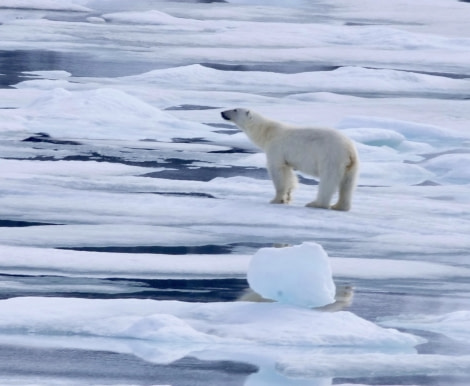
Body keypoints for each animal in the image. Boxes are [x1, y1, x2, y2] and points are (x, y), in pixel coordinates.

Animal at [222, 108, 358, 211]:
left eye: (235, 109)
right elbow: (288, 174)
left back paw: (316, 204)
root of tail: (349, 150)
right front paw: (287, 196)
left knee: (328, 181)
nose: (222, 112)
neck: (268, 132)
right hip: (351, 166)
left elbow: (277, 172)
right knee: (347, 184)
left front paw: (276, 199)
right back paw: (340, 206)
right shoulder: (285, 158)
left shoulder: (276, 148)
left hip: (330, 157)